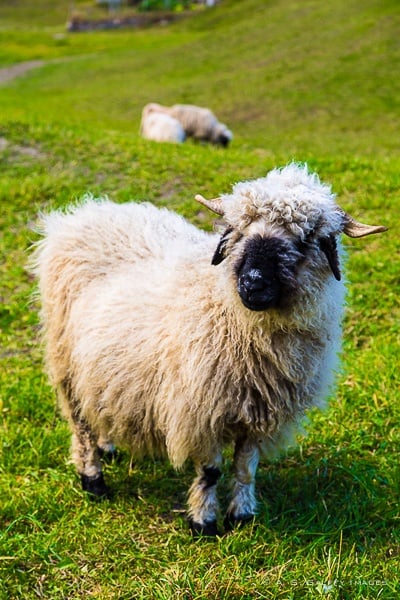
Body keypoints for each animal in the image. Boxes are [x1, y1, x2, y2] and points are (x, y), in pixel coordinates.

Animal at [29, 163, 386, 536]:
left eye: (305, 240)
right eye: (238, 231)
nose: (252, 283)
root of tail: (84, 212)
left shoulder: (259, 413)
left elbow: (246, 467)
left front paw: (242, 515)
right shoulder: (203, 410)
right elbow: (211, 472)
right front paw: (203, 521)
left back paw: (108, 445)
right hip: (65, 359)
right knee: (80, 423)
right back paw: (93, 479)